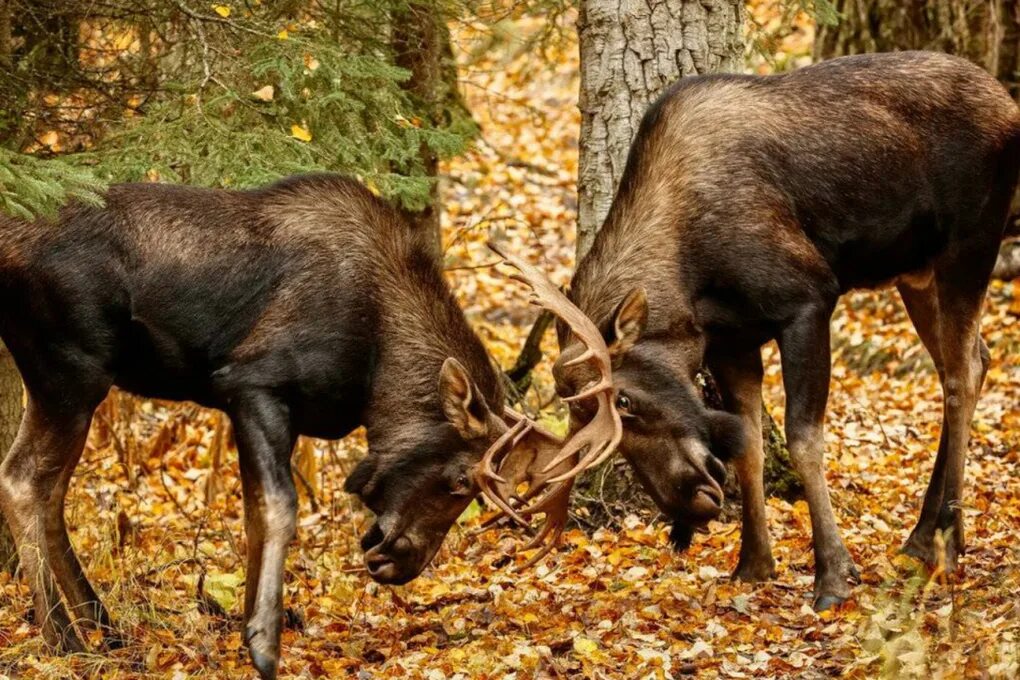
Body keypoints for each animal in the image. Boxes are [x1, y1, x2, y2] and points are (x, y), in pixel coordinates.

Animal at [0, 173, 575, 676]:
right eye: (460, 481)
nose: (404, 563)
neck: (375, 371)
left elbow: (254, 514)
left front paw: (246, 626)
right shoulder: (252, 383)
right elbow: (278, 509)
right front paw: (263, 644)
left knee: (52, 492)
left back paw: (104, 627)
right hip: (70, 371)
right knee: (23, 480)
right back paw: (65, 639)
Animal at [493, 50, 1020, 607]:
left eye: (624, 401)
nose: (687, 503)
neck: (690, 285)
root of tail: (1007, 103)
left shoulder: (809, 298)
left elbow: (803, 438)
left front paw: (832, 574)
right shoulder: (730, 342)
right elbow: (748, 443)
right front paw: (754, 562)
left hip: (971, 242)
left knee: (961, 374)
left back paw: (948, 540)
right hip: (915, 273)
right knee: (975, 359)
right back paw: (922, 536)